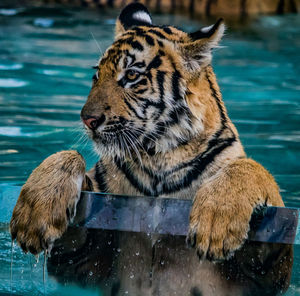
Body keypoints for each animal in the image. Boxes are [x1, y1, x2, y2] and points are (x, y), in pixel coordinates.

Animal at [10, 2, 292, 296]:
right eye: (96, 76)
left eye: (132, 75)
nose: (87, 119)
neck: (160, 155)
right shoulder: (90, 256)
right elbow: (68, 155)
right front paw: (33, 217)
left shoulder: (267, 276)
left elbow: (252, 169)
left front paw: (216, 226)